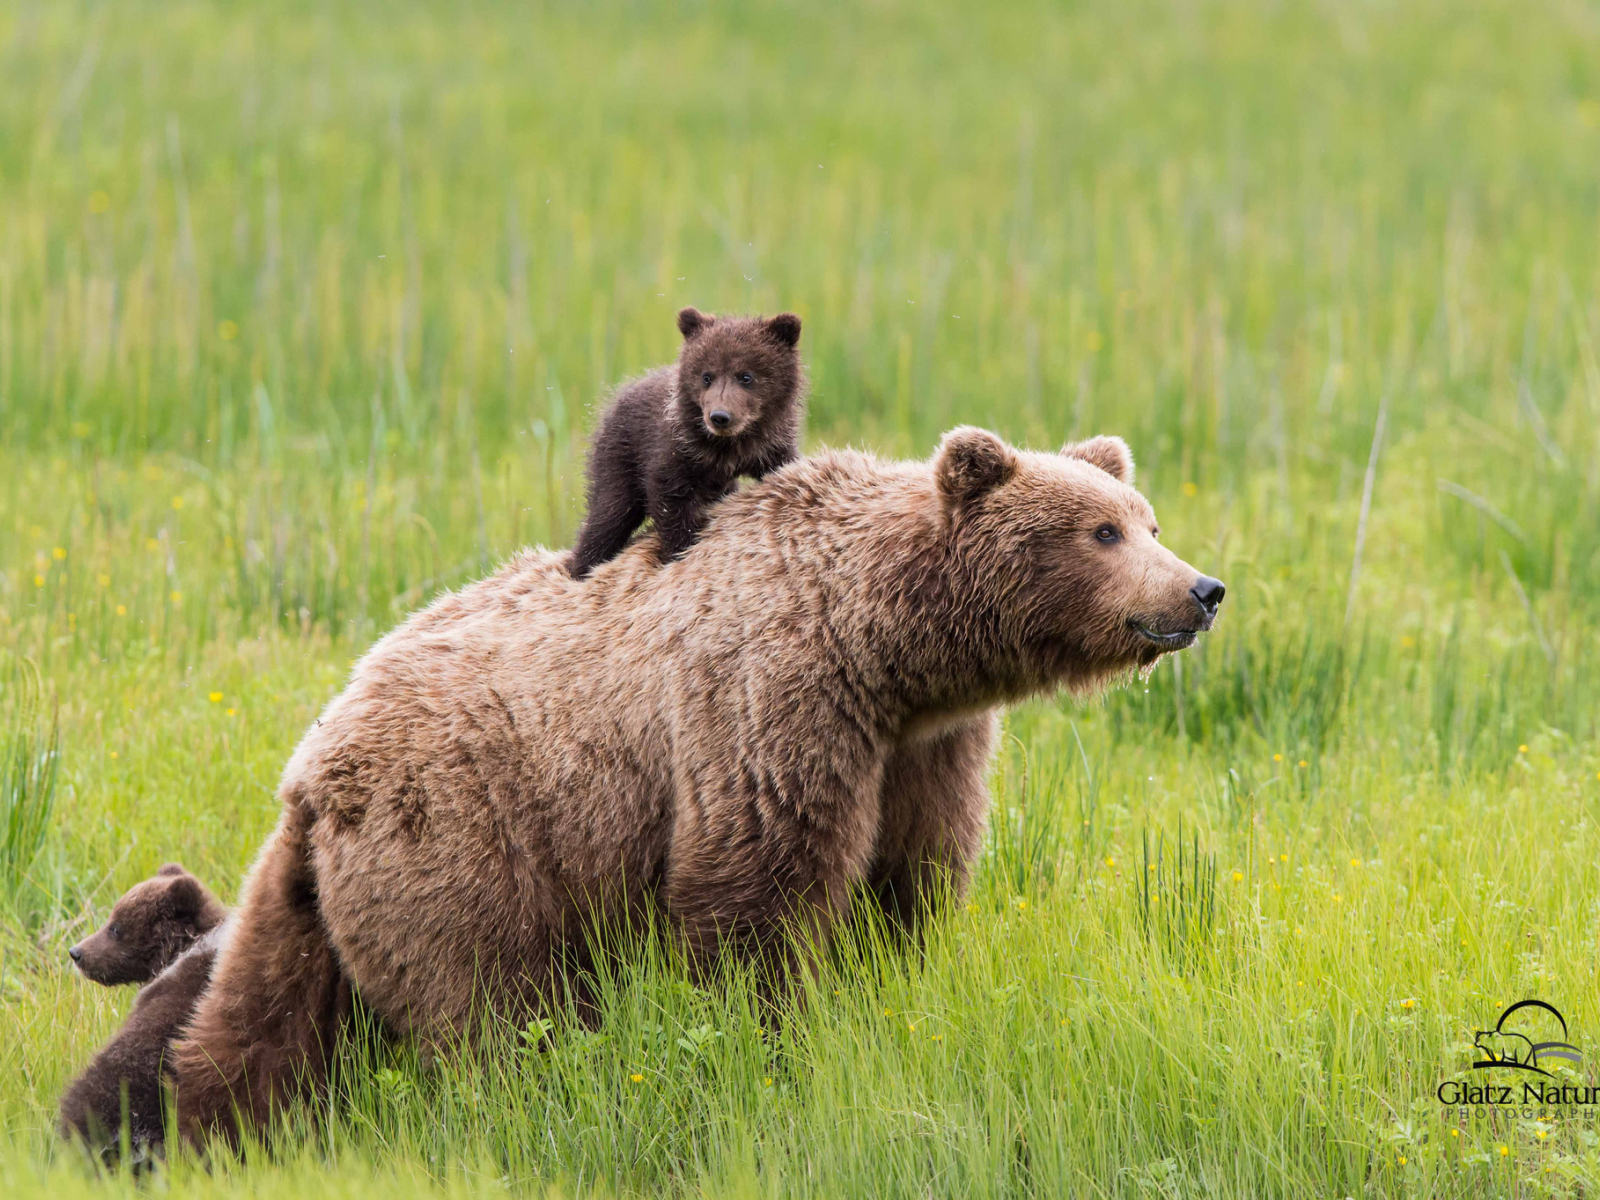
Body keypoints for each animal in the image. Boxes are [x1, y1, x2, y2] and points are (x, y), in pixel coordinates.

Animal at [168, 428, 1222, 1145]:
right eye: (1101, 531)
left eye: (1149, 521)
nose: (1202, 590)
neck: (885, 652)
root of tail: (316, 759)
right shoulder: (773, 702)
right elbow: (757, 893)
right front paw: (772, 1043)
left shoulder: (927, 750)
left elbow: (908, 882)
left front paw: (885, 989)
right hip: (462, 836)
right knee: (486, 1005)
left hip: (312, 888)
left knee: (254, 1023)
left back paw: (202, 1127)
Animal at [569, 305, 806, 579]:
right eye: (707, 376)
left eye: (746, 376)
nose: (720, 416)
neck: (729, 447)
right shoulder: (676, 449)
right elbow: (669, 497)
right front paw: (681, 550)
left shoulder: (769, 447)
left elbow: (784, 469)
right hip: (620, 453)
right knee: (610, 514)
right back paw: (581, 566)